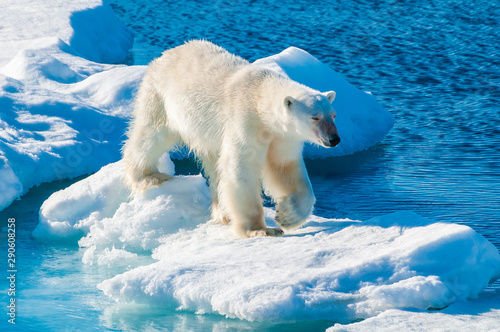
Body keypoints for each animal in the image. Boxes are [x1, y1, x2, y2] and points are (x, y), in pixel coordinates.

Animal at [122, 41, 340, 237]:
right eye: (315, 117)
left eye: (333, 115)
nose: (334, 139)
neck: (259, 95)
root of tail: (165, 55)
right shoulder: (245, 121)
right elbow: (241, 166)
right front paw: (260, 229)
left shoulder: (282, 136)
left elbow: (284, 167)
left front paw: (287, 216)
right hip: (160, 99)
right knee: (151, 135)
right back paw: (148, 176)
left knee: (214, 167)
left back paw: (223, 213)